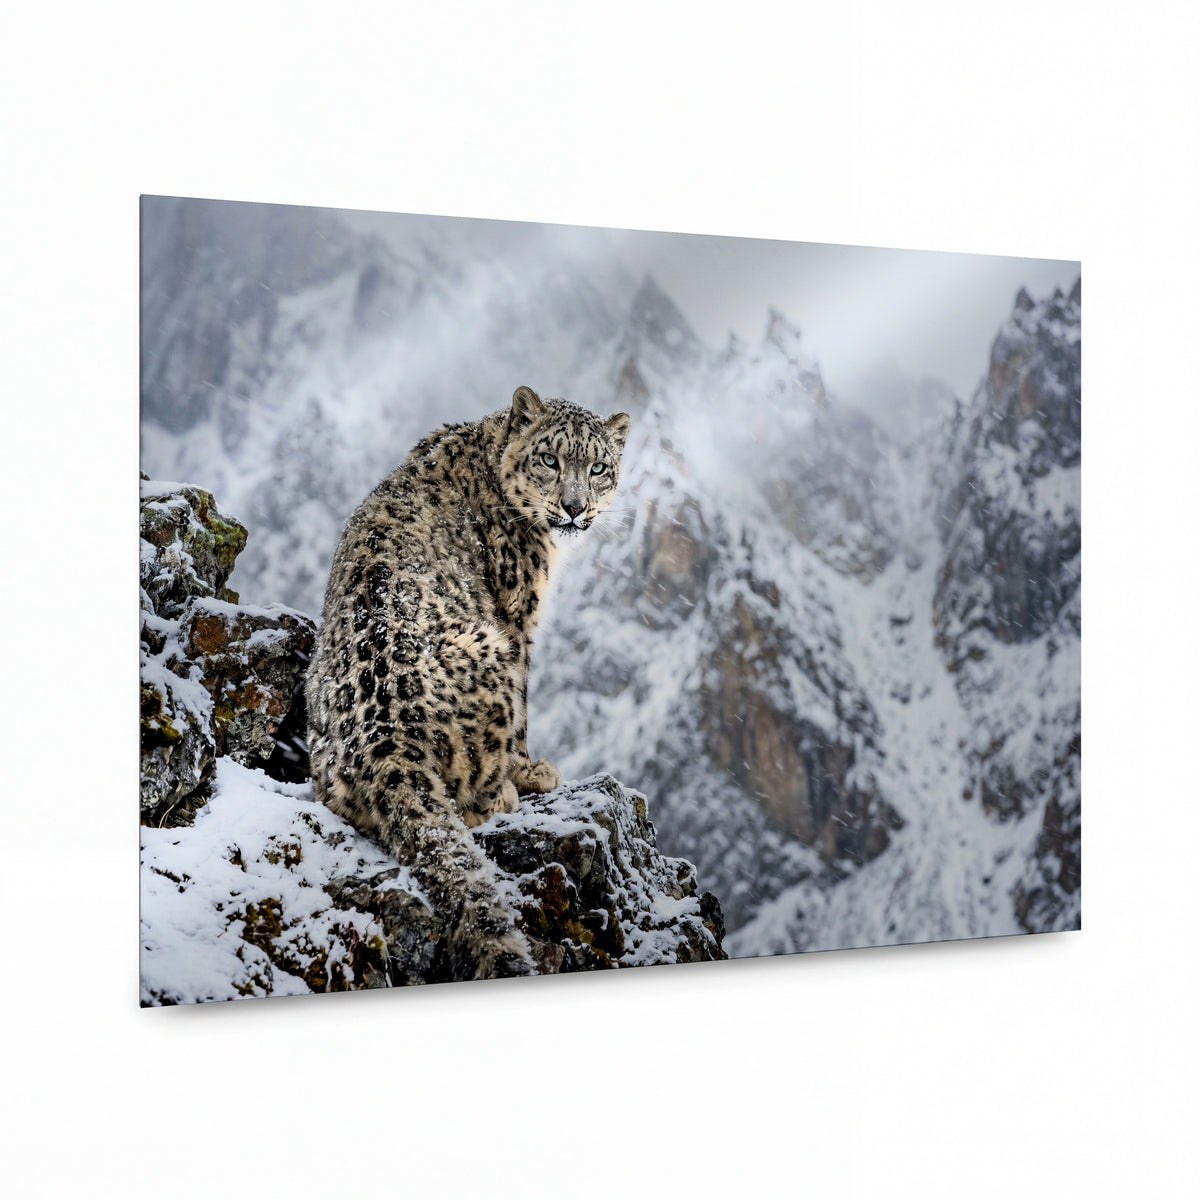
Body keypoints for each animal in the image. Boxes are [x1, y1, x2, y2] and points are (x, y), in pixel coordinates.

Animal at [306, 386, 631, 981]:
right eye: (549, 460)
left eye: (598, 467)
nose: (575, 507)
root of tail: (386, 741)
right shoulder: (518, 619)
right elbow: (526, 707)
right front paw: (531, 768)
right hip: (492, 651)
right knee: (467, 797)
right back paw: (505, 790)